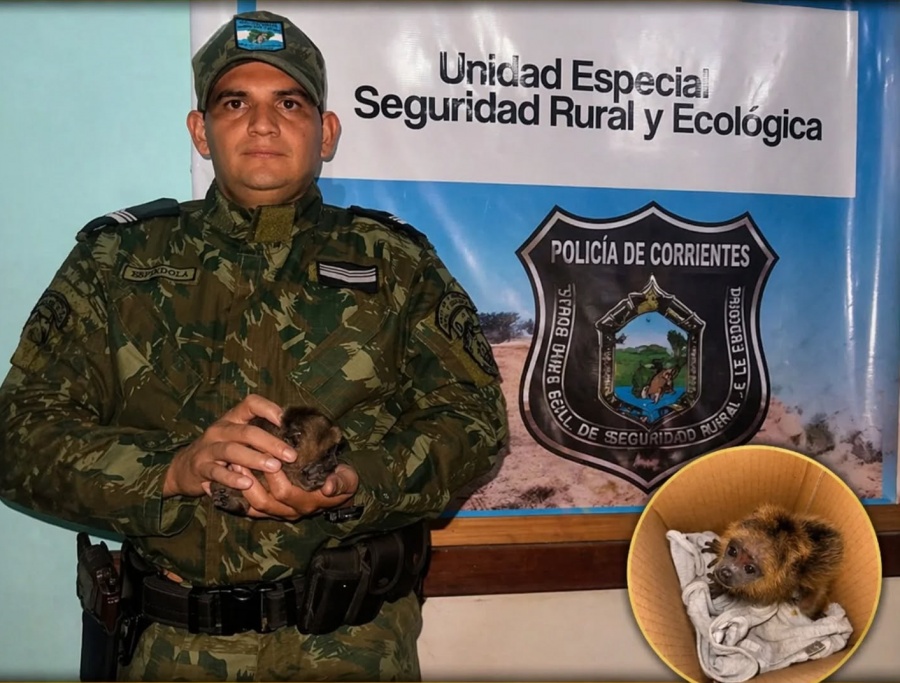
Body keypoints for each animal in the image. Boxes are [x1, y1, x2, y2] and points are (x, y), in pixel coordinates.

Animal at [702, 503, 844, 619]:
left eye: (749, 568)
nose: (726, 572)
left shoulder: (776, 587)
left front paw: (720, 588)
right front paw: (717, 548)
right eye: (732, 551)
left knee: (806, 605)